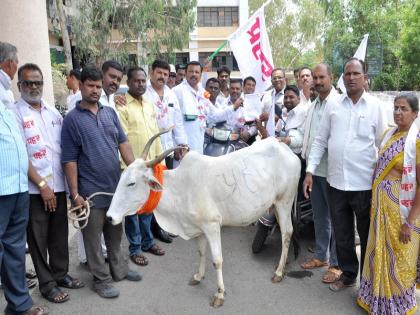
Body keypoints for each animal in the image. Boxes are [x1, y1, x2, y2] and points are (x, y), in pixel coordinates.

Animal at [106, 133, 300, 308]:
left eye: (131, 183)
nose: (109, 216)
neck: (181, 188)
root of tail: (287, 150)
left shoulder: (212, 225)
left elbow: (217, 260)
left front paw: (219, 295)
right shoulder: (197, 228)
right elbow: (201, 253)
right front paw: (198, 276)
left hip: (284, 201)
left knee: (287, 232)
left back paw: (279, 272)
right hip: (275, 205)